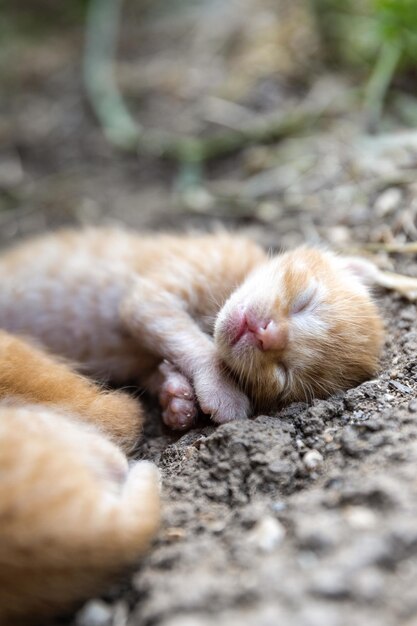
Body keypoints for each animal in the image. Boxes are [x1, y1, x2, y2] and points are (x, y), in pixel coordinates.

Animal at [0, 229, 384, 428]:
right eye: (305, 301)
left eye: (283, 373)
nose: (267, 334)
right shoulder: (152, 295)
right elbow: (200, 347)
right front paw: (222, 391)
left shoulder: (139, 359)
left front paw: (176, 400)